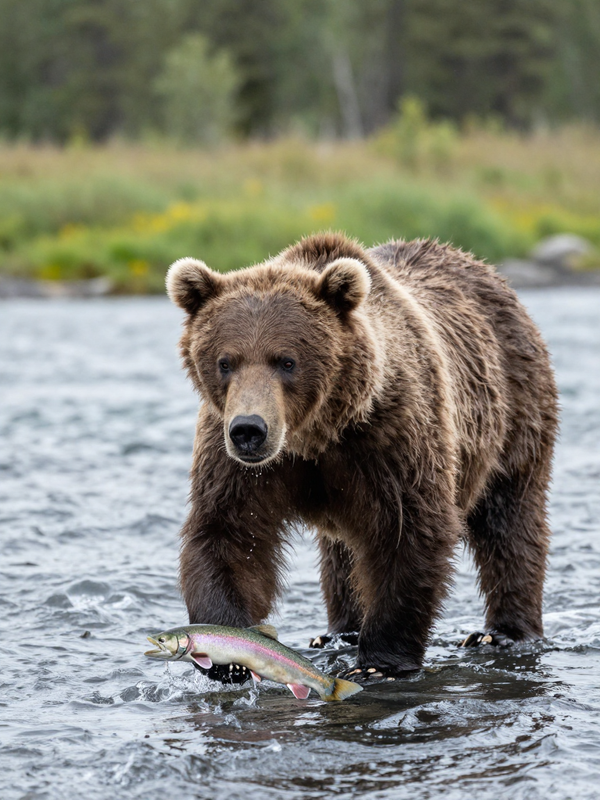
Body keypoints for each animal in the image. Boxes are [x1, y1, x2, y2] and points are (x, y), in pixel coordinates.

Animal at [166, 232, 558, 682]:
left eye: (287, 360)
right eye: (225, 361)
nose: (249, 430)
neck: (315, 435)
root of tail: (485, 270)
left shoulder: (392, 438)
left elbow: (408, 532)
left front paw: (379, 663)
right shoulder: (237, 460)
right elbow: (228, 532)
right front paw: (229, 651)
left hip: (514, 409)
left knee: (510, 520)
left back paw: (503, 633)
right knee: (341, 555)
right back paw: (339, 632)